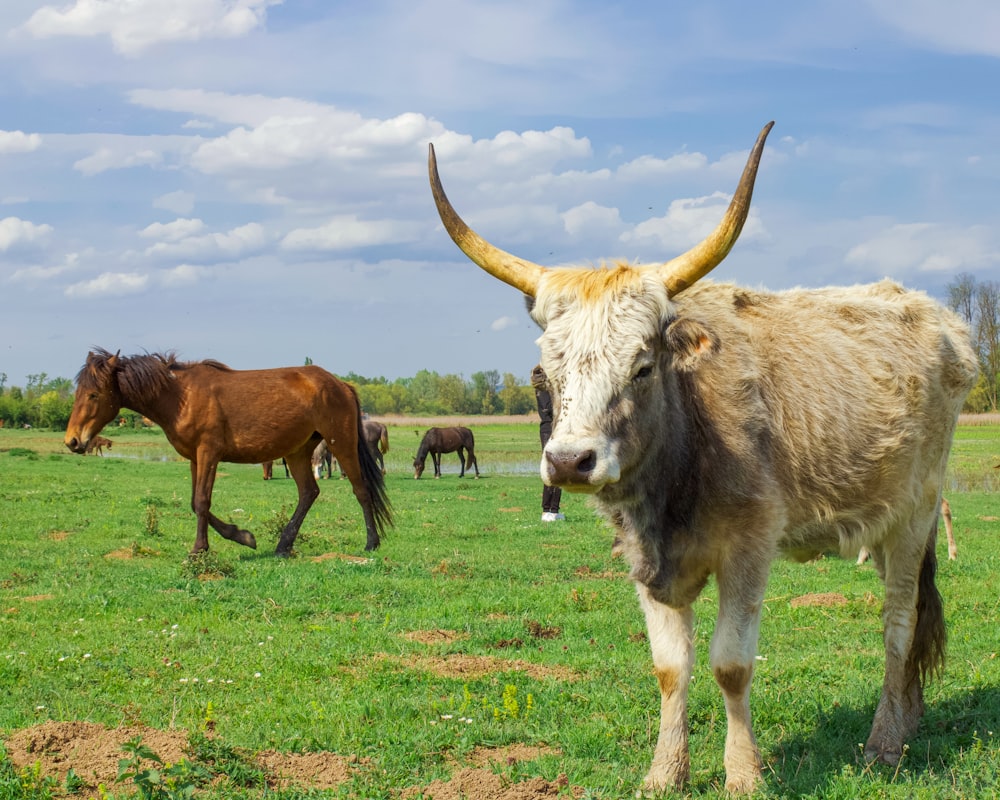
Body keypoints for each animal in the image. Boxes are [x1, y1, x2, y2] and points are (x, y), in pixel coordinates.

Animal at [64, 350, 392, 556]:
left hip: (341, 443)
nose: (72, 441)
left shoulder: (209, 453)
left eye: (94, 394)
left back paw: (371, 543)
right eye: (78, 393)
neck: (180, 397)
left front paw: (200, 550)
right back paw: (283, 546)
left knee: (361, 490)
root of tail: (341, 384)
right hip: (299, 451)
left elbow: (201, 501)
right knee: (308, 493)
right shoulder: (195, 458)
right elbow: (196, 504)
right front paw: (243, 536)